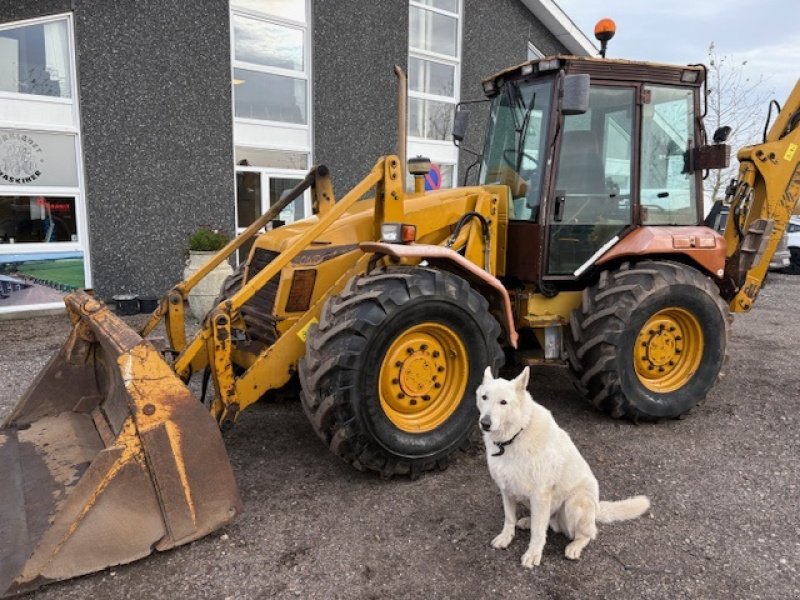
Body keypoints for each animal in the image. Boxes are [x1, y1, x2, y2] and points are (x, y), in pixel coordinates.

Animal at [476, 366, 648, 568]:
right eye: (484, 397)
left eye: (503, 402)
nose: (485, 423)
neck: (515, 437)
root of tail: (597, 507)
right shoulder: (506, 490)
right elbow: (509, 519)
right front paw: (506, 537)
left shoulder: (540, 494)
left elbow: (538, 532)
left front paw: (533, 553)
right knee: (545, 522)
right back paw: (527, 521)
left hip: (574, 505)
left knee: (588, 534)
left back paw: (575, 546)